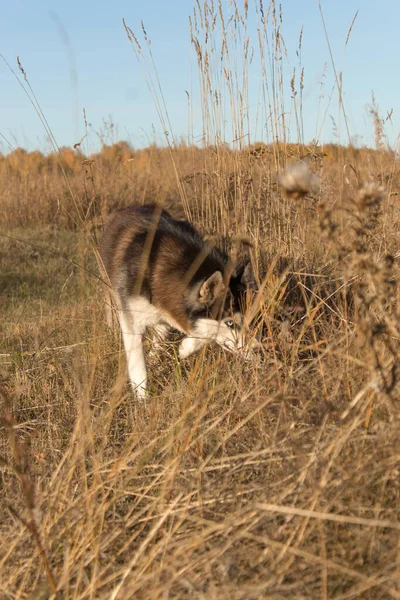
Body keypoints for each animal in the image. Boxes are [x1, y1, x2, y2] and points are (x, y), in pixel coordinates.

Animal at [99, 204, 253, 396]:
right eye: (230, 323)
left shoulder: (168, 315)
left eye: (248, 320)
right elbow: (138, 369)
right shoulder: (132, 324)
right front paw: (142, 399)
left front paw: (184, 348)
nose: (255, 350)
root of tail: (130, 207)